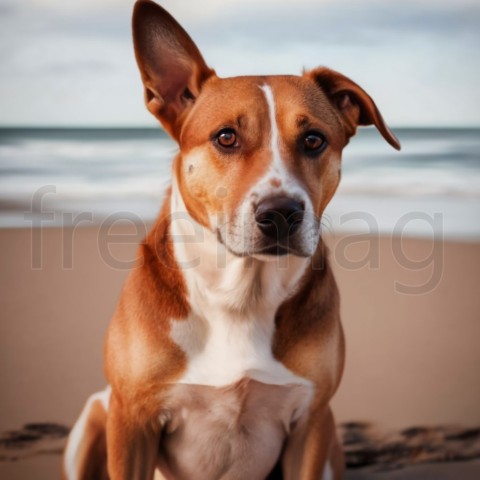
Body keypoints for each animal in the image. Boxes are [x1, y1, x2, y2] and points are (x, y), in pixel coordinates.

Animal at [62, 1, 402, 478]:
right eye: (226, 137)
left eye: (314, 139)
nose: (281, 213)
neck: (241, 295)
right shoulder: (131, 420)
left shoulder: (312, 423)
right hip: (94, 415)